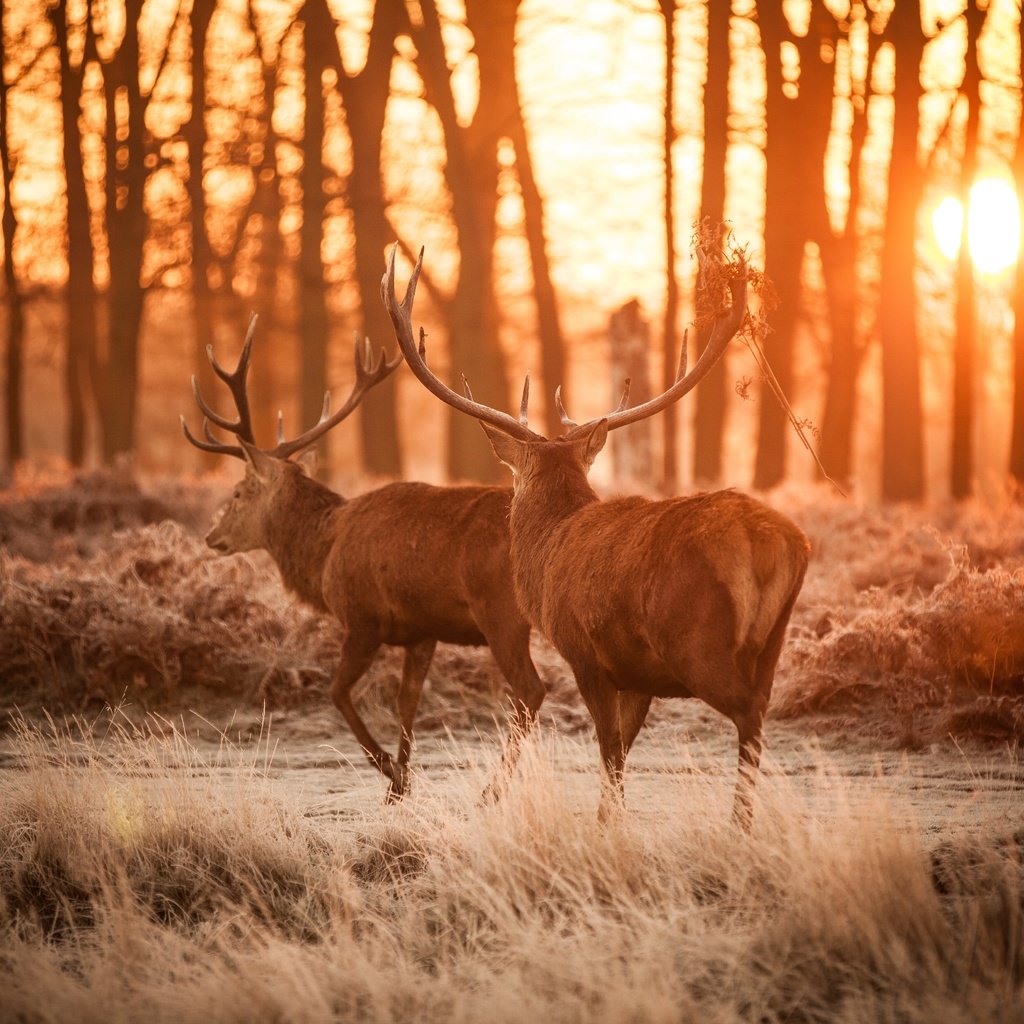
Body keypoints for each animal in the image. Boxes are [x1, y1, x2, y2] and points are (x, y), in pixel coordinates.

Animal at [184, 317, 552, 798]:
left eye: (239, 492)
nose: (212, 537)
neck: (324, 554)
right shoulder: (421, 630)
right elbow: (407, 702)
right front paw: (401, 783)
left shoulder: (362, 618)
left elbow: (337, 692)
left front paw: (389, 771)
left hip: (501, 613)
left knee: (531, 690)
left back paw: (494, 789)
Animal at [380, 245, 811, 823]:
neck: (547, 550)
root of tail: (769, 542)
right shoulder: (638, 675)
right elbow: (622, 751)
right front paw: (610, 820)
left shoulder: (584, 652)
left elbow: (608, 750)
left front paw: (605, 826)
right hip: (775, 638)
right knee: (760, 706)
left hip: (696, 640)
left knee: (749, 713)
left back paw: (738, 825)